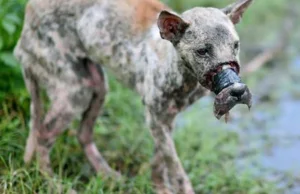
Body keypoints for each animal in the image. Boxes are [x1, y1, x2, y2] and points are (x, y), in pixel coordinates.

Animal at [14, 0, 253, 192]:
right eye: (202, 51)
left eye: (236, 46)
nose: (237, 90)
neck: (179, 69)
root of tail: (28, 13)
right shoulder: (155, 118)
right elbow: (175, 168)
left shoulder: (166, 119)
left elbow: (159, 161)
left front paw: (159, 188)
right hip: (74, 92)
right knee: (42, 136)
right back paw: (54, 184)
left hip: (97, 86)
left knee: (82, 134)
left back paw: (108, 175)